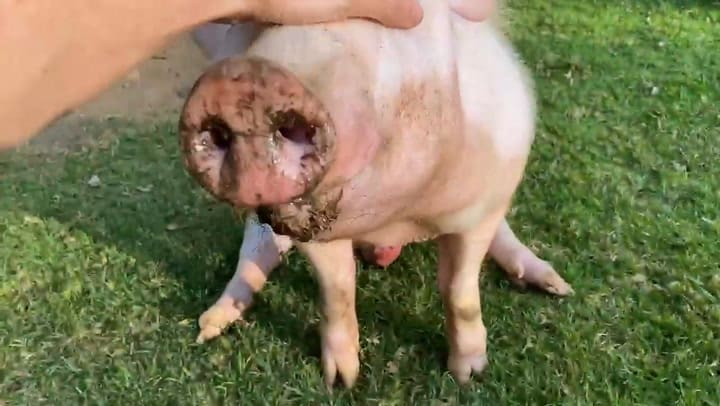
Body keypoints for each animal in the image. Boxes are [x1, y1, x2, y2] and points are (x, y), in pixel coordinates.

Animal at [180, 0, 573, 388]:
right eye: (262, 24)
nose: (240, 81)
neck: (397, 217)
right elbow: (338, 288)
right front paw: (342, 381)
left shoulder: (483, 201)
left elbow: (459, 290)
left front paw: (469, 375)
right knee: (256, 252)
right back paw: (209, 325)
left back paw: (556, 286)